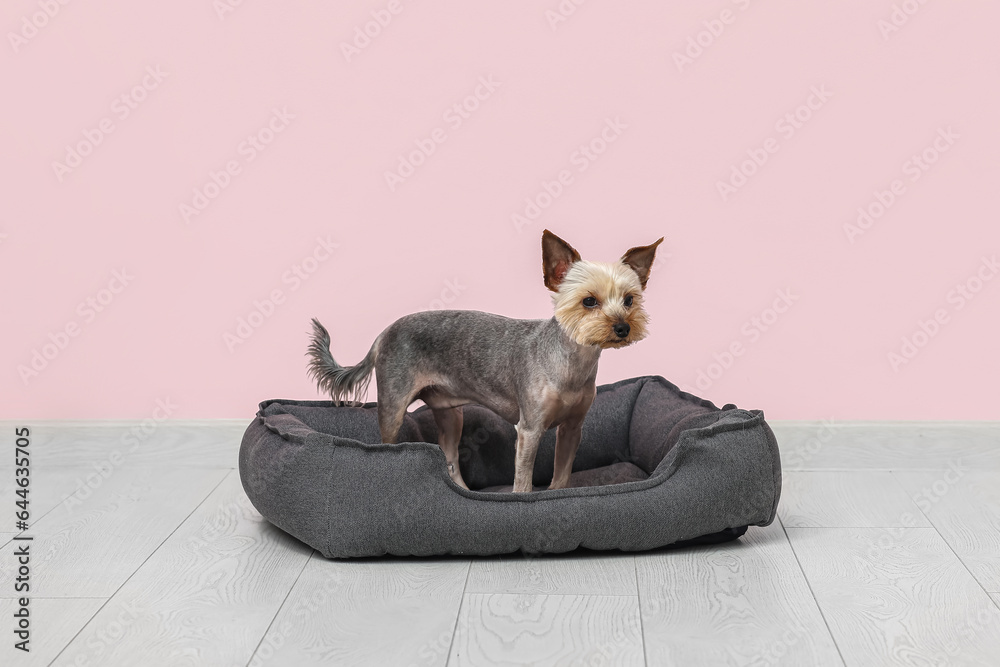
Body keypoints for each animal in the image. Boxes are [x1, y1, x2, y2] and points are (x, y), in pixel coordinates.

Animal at [308, 232, 660, 494]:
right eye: (589, 301)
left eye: (629, 300)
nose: (622, 327)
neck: (572, 361)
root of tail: (383, 333)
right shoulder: (530, 429)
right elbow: (523, 481)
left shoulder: (573, 428)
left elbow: (561, 476)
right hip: (393, 408)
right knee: (391, 441)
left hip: (452, 415)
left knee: (450, 459)